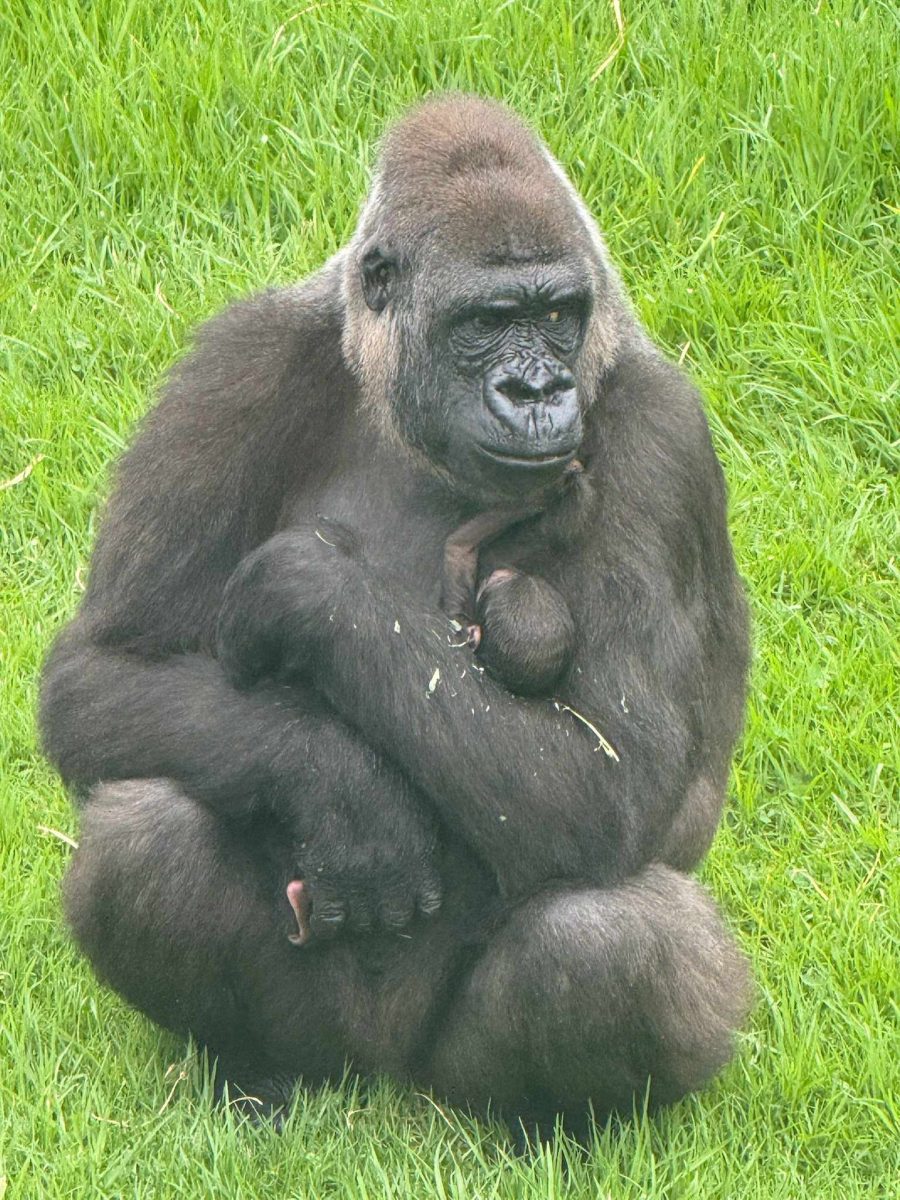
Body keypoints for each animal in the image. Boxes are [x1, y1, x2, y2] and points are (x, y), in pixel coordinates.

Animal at [38, 96, 748, 1132]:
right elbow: (101, 671)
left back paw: (544, 1127)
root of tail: (378, 1083)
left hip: (441, 1074)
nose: (537, 390)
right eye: (489, 321)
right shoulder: (235, 365)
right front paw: (343, 788)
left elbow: (611, 774)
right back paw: (252, 1068)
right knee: (145, 835)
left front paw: (310, 594)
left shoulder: (664, 436)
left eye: (558, 316)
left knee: (607, 941)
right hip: (322, 1043)